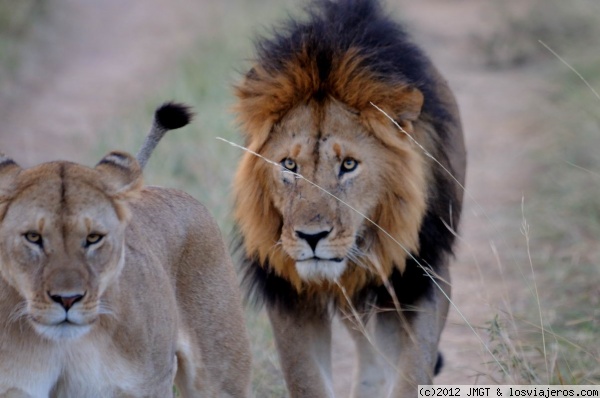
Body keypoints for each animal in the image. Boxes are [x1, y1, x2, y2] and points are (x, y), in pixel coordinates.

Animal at [0, 103, 251, 398]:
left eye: (93, 238)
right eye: (33, 237)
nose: (67, 299)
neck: (67, 346)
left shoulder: (151, 382)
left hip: (221, 375)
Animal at [232, 1, 466, 396]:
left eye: (349, 165)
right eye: (289, 165)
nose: (311, 238)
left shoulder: (422, 276)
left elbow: (412, 372)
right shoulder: (289, 291)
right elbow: (307, 379)